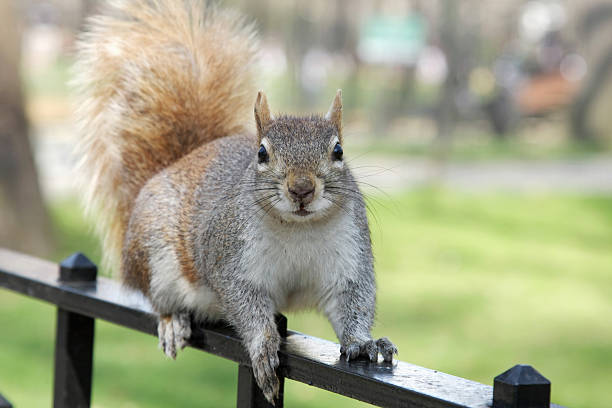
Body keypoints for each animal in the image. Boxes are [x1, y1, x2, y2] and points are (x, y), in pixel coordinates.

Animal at [73, 0, 396, 402]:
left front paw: (364, 343)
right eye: (261, 153)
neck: (298, 228)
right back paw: (172, 321)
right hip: (154, 257)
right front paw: (262, 348)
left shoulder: (349, 258)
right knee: (158, 299)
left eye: (338, 151)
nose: (302, 189)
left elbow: (353, 302)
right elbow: (247, 308)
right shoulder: (231, 262)